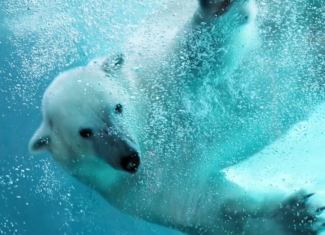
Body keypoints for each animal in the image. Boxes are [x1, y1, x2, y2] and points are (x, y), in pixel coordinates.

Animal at [29, 0, 324, 234]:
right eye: (85, 132)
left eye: (117, 107)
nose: (130, 159)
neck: (149, 131)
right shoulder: (141, 191)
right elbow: (210, 208)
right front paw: (299, 215)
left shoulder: (160, 78)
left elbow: (203, 53)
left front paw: (217, 6)